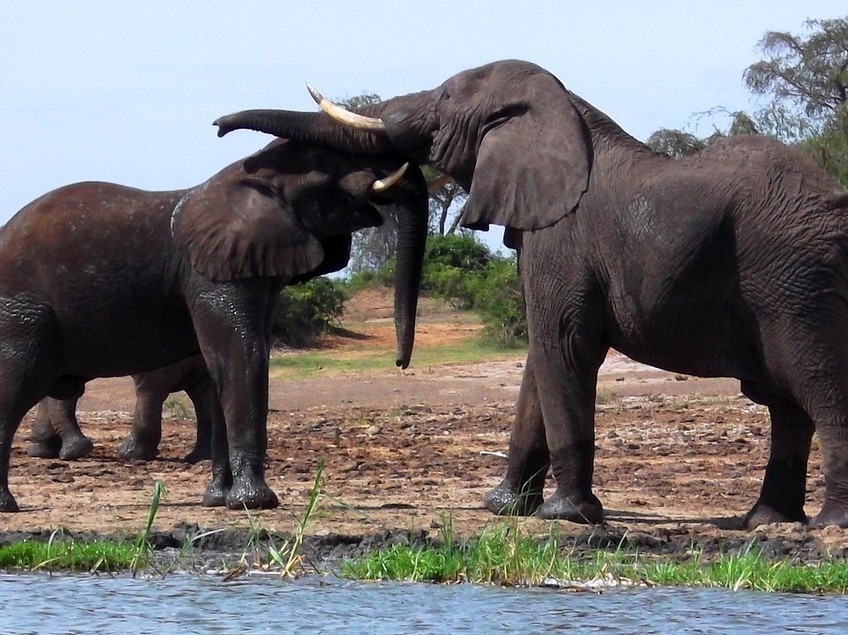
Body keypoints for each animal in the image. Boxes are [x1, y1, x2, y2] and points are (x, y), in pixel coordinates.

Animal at [27, 355, 214, 463]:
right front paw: (41, 451)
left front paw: (71, 452)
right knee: (203, 393)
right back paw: (200, 457)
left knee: (150, 387)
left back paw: (130, 454)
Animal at [214, 58, 848, 528]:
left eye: (444, 100)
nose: (219, 127)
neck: (563, 110)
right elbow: (539, 362)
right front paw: (504, 508)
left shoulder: (560, 237)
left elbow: (563, 347)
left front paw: (567, 516)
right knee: (787, 404)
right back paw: (766, 522)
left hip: (793, 280)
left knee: (818, 387)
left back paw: (827, 526)